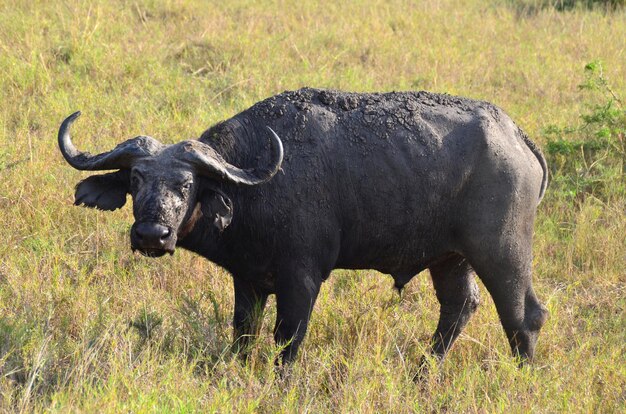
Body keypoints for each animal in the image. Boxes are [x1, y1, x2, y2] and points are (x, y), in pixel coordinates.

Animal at [57, 87, 544, 366]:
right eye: (136, 180)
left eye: (186, 183)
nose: (151, 236)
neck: (257, 186)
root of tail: (516, 133)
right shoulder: (248, 281)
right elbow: (244, 336)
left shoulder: (302, 281)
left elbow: (287, 344)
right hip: (449, 258)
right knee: (459, 307)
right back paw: (423, 370)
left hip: (501, 251)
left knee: (524, 316)